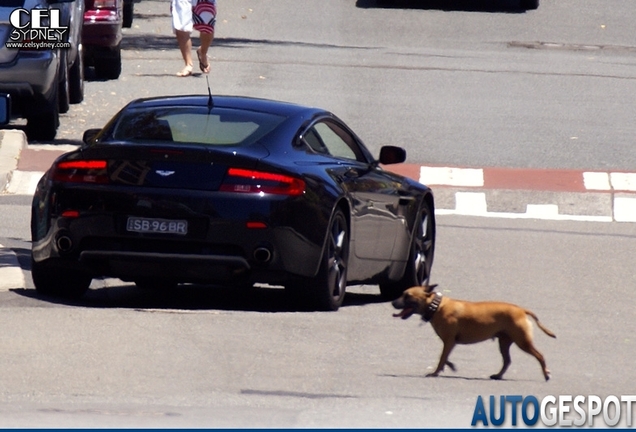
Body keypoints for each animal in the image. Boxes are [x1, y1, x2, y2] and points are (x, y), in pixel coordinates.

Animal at [392, 286, 556, 380]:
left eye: (407, 295)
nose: (392, 302)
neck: (437, 306)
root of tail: (521, 310)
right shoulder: (450, 342)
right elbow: (445, 358)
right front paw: (450, 366)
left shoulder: (449, 341)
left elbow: (442, 358)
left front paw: (435, 372)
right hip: (504, 342)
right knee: (507, 361)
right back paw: (498, 375)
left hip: (522, 342)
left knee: (540, 355)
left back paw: (546, 374)